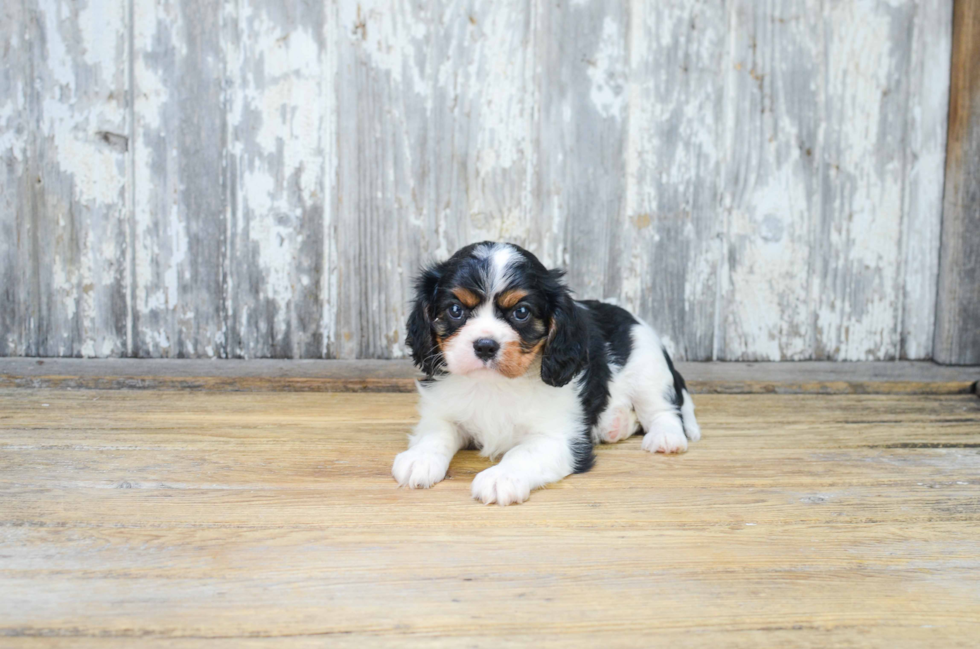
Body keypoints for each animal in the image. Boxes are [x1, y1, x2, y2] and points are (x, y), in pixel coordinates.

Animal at [390, 240, 696, 504]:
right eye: (455, 310)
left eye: (521, 312)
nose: (485, 345)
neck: (495, 385)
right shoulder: (443, 411)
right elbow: (435, 433)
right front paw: (419, 458)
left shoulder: (559, 438)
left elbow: (523, 452)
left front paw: (501, 477)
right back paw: (614, 425)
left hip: (648, 368)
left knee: (663, 410)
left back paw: (665, 437)